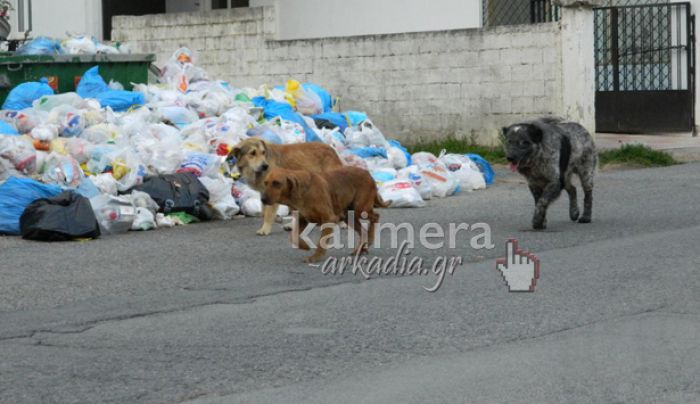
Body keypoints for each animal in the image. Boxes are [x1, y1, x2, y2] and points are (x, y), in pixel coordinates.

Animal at [262, 166, 392, 264]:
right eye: (265, 183)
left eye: (276, 183)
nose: (262, 199)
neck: (304, 191)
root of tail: (368, 173)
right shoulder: (302, 220)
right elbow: (293, 237)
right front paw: (304, 246)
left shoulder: (329, 219)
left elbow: (321, 242)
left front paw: (315, 257)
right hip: (349, 216)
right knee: (364, 231)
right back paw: (361, 249)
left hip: (360, 210)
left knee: (376, 217)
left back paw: (369, 240)